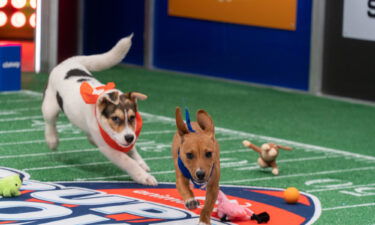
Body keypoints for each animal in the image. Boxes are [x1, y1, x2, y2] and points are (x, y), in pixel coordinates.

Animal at [41, 34, 158, 186]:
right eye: (115, 118)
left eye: (132, 117)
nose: (129, 138)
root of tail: (69, 61)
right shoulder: (109, 148)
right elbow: (127, 161)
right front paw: (143, 176)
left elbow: (132, 150)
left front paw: (141, 163)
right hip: (50, 106)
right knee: (50, 123)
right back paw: (52, 139)